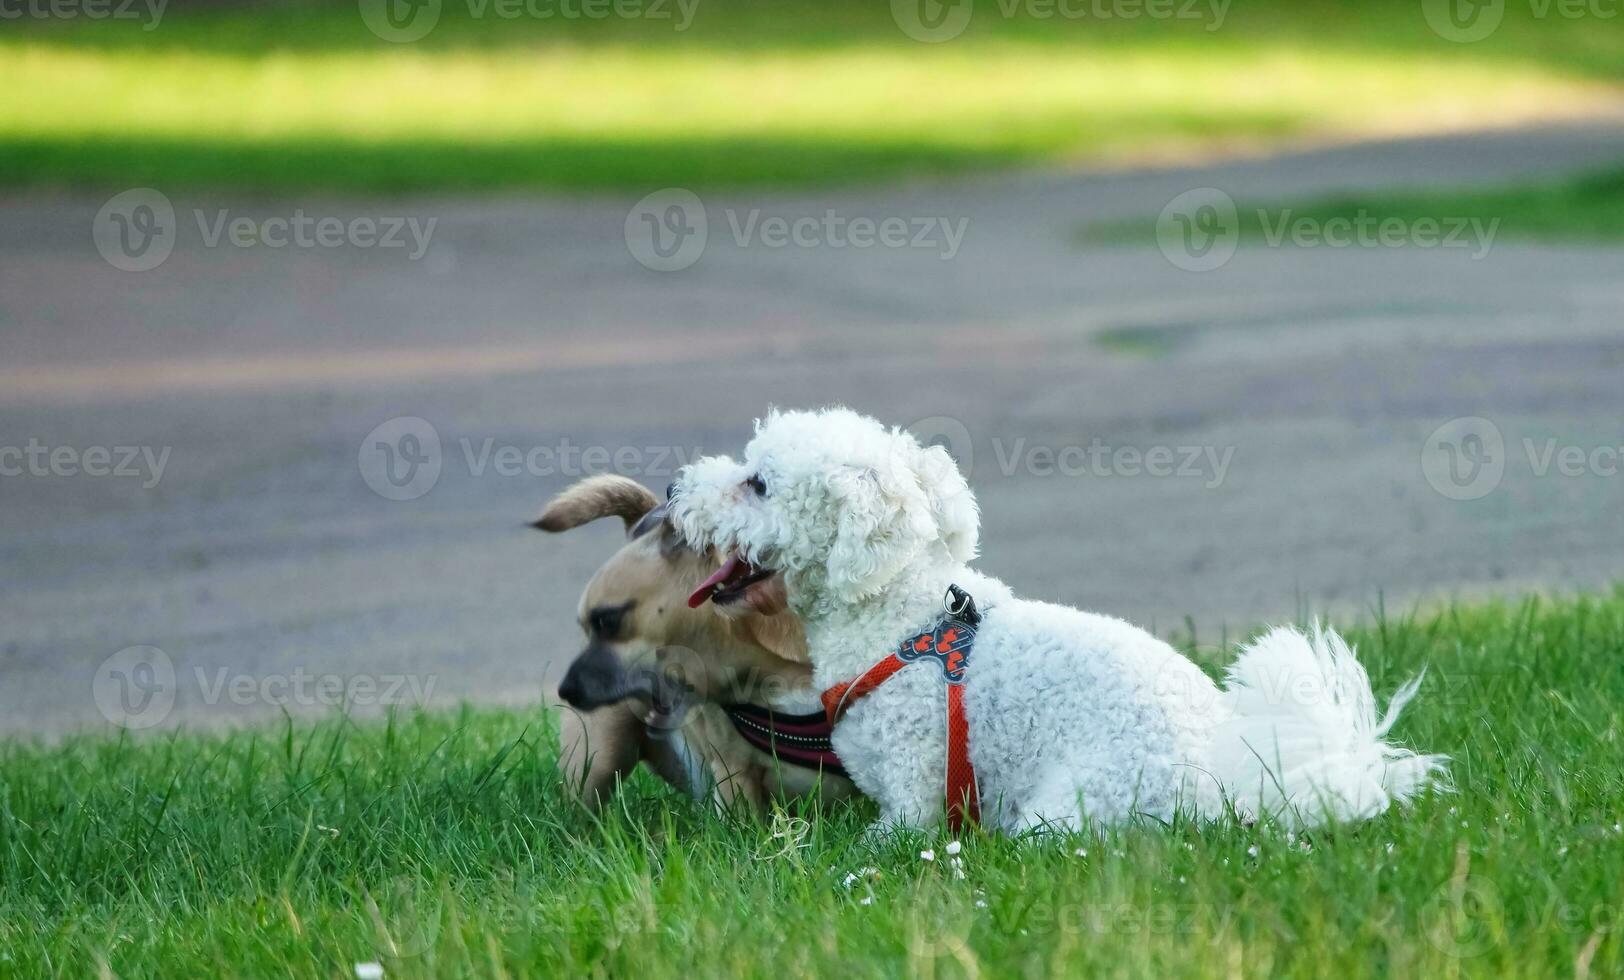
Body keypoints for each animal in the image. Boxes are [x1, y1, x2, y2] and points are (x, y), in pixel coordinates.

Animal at [672, 406, 1448, 838]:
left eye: (757, 483)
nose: (677, 485)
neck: (901, 618)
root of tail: (1229, 783)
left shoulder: (915, 795)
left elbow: (890, 843)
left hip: (1072, 809)